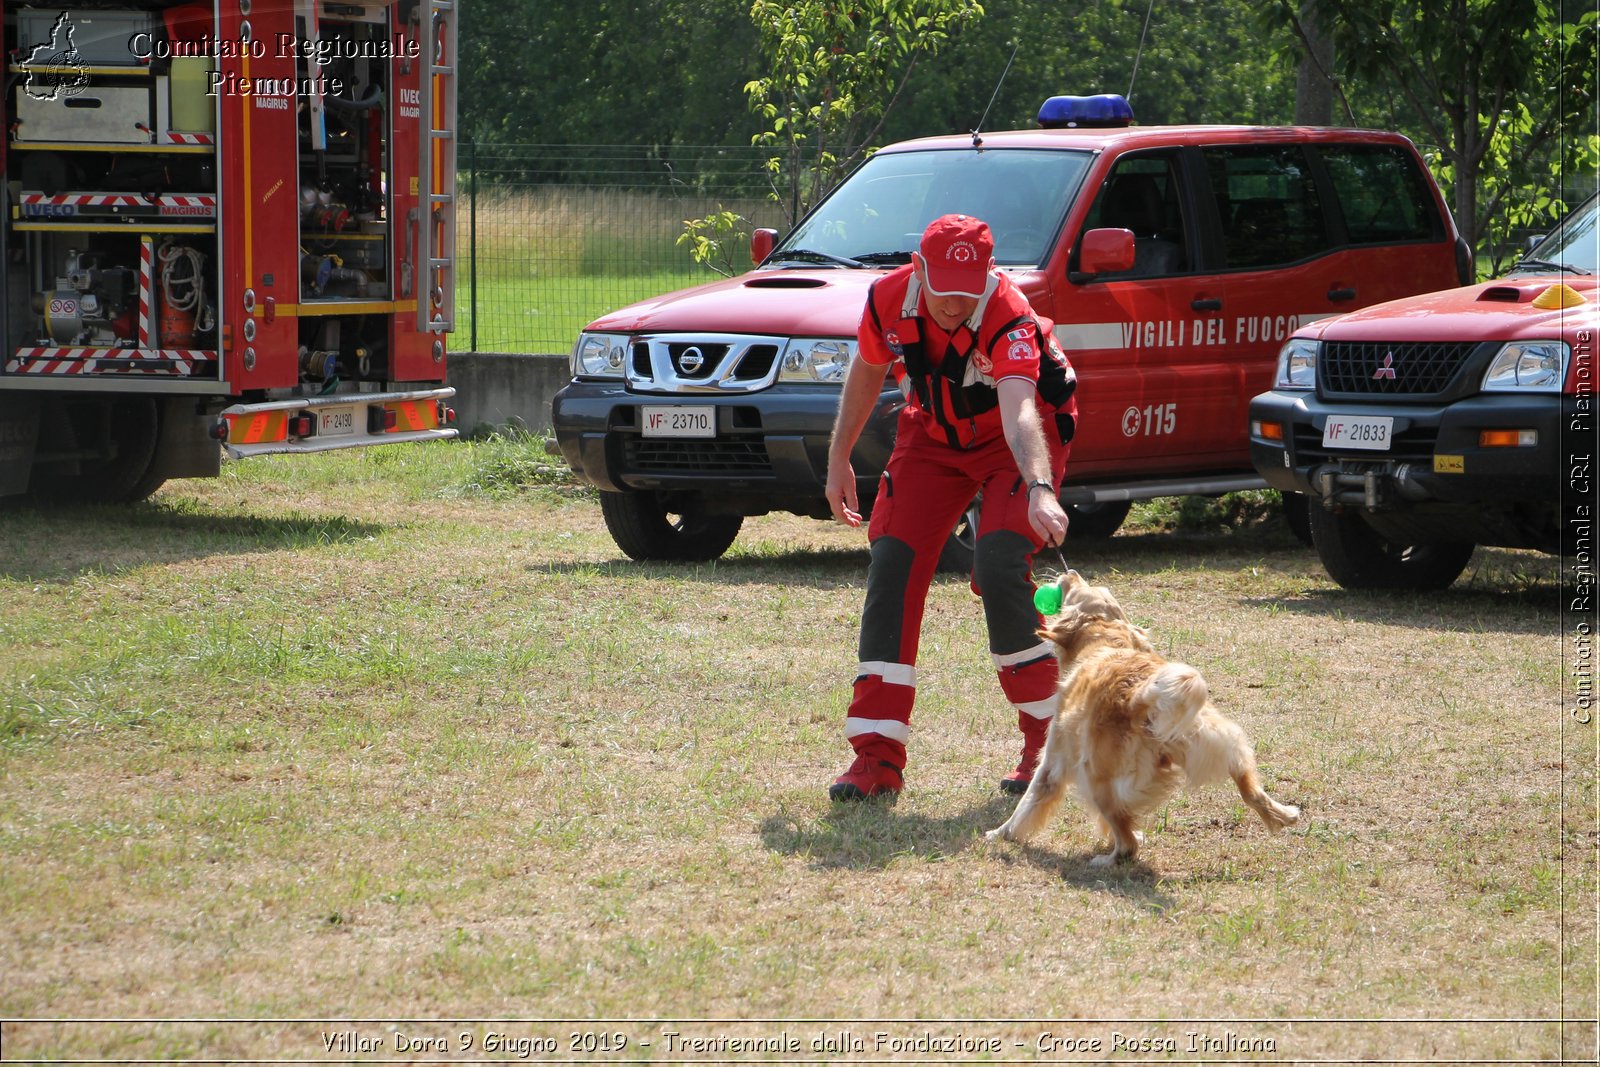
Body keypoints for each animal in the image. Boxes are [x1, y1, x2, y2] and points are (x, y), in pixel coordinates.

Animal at [985, 572, 1299, 863]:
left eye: (1076, 590)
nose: (1070, 572)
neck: (1106, 643)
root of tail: (1139, 696)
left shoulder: (1054, 757)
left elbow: (1029, 802)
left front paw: (1000, 834)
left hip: (1095, 776)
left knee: (1125, 842)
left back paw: (1107, 859)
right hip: (1216, 738)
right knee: (1249, 788)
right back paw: (1284, 815)